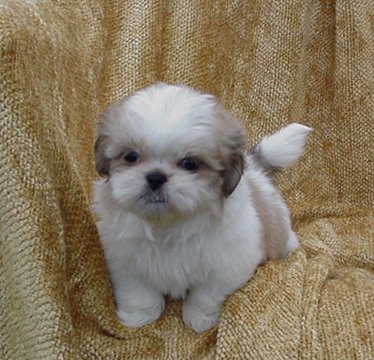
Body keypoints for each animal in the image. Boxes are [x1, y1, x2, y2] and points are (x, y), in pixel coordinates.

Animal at [93, 83, 312, 334]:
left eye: (190, 164)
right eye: (131, 156)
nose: (156, 177)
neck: (168, 225)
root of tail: (255, 170)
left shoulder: (229, 264)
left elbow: (205, 295)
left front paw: (199, 319)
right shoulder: (124, 260)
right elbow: (139, 292)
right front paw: (140, 317)